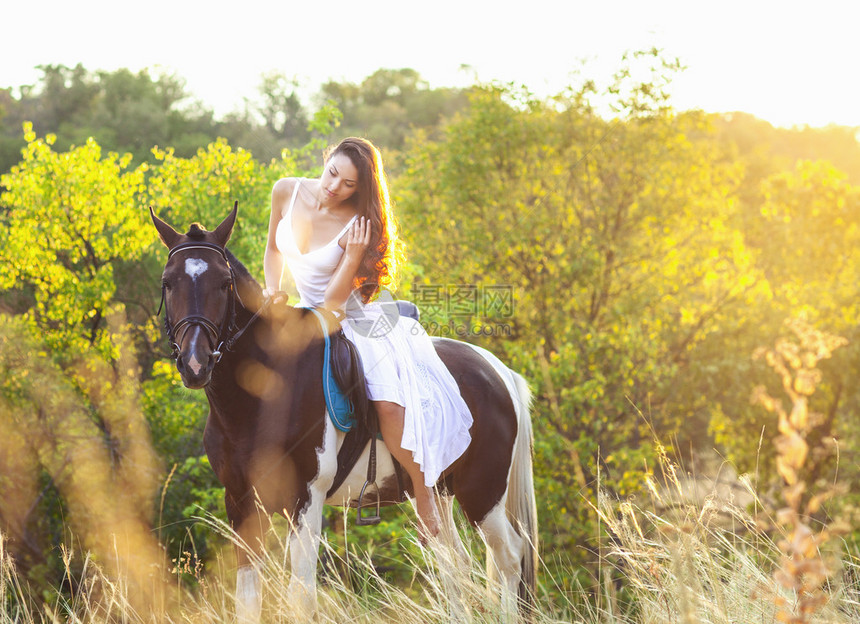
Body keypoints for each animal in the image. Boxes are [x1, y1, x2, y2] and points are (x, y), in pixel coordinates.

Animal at [149, 206, 536, 624]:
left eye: (224, 284)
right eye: (168, 283)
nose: (195, 363)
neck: (263, 394)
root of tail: (498, 372)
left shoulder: (306, 498)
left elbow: (300, 595)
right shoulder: (239, 501)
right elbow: (247, 599)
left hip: (483, 492)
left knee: (508, 558)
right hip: (436, 492)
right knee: (455, 564)